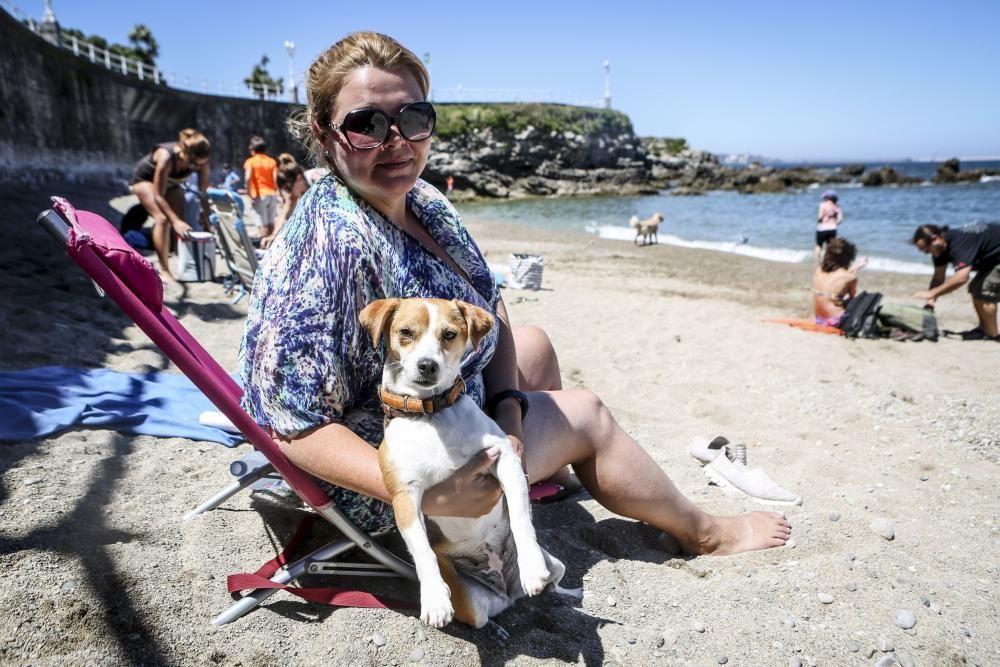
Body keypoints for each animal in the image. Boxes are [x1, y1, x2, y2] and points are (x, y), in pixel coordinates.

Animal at [360, 298, 568, 632]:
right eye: (405, 332)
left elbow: (521, 517)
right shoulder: (404, 496)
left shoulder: (505, 458)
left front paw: (531, 567)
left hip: (557, 564)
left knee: (553, 580)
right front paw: (434, 597)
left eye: (449, 334)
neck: (431, 416)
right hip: (473, 608)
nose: (427, 365)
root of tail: (506, 589)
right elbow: (422, 551)